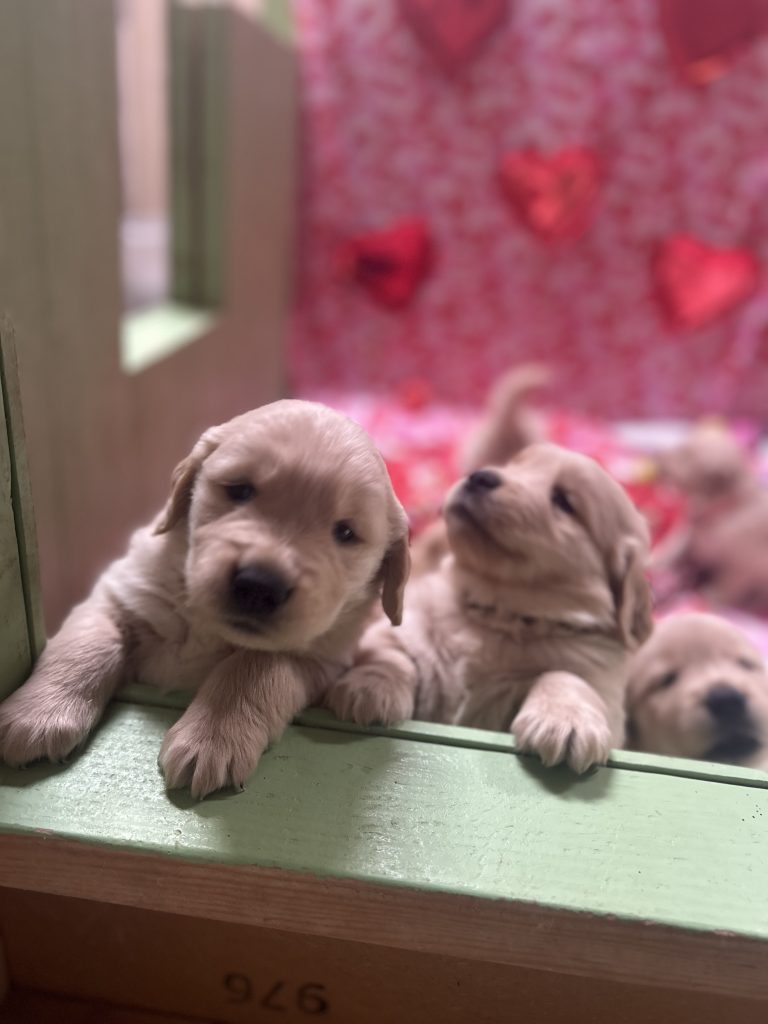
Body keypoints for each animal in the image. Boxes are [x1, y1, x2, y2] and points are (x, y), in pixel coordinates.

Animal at [0, 400, 410, 797]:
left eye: (345, 533)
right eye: (240, 490)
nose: (260, 584)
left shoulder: (318, 656)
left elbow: (254, 667)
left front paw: (211, 739)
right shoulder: (120, 592)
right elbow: (86, 644)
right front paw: (38, 714)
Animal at [328, 443, 653, 773]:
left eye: (563, 501)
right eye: (514, 465)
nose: (481, 476)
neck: (498, 613)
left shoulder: (604, 688)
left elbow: (566, 676)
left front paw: (566, 720)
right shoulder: (404, 627)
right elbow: (391, 653)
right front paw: (370, 686)